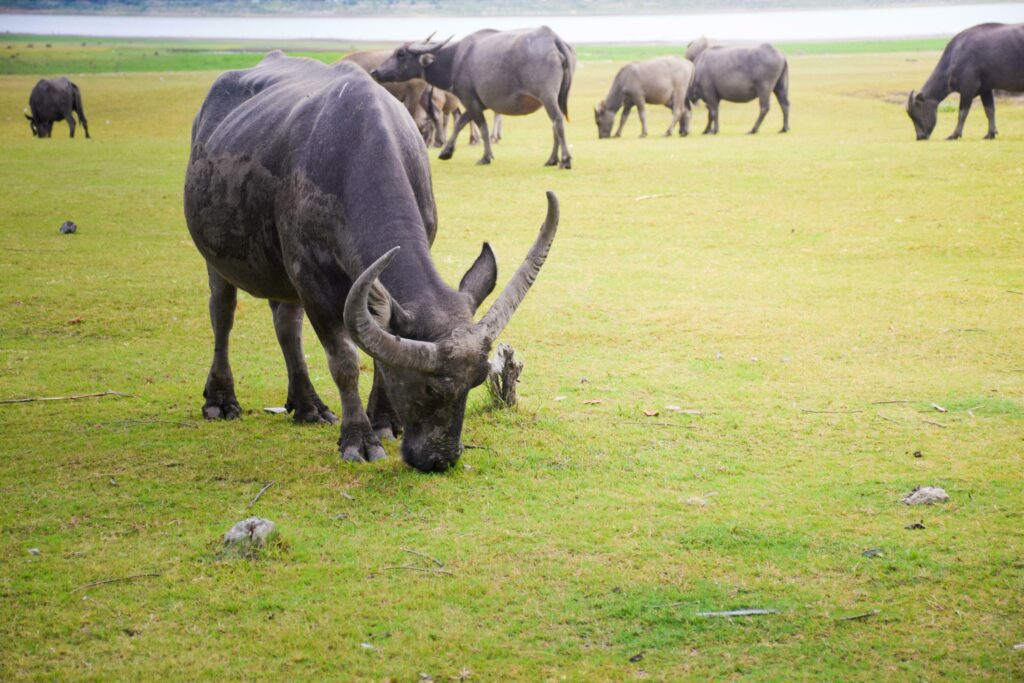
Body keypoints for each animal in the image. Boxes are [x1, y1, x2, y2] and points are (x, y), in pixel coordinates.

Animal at [184, 52, 561, 475]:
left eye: (478, 380)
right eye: (429, 387)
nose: (439, 458)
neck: (352, 155)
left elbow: (379, 354)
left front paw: (384, 423)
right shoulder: (311, 280)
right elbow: (345, 360)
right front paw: (359, 439)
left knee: (286, 325)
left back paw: (308, 405)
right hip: (218, 258)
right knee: (222, 313)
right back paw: (221, 398)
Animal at [370, 28, 577, 169]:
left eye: (400, 54)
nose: (376, 72)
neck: (455, 60)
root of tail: (553, 39)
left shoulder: (470, 100)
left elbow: (482, 128)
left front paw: (486, 157)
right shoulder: (477, 103)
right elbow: (461, 122)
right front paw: (446, 151)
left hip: (547, 96)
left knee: (557, 121)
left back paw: (565, 160)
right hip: (557, 97)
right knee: (555, 125)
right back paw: (552, 159)